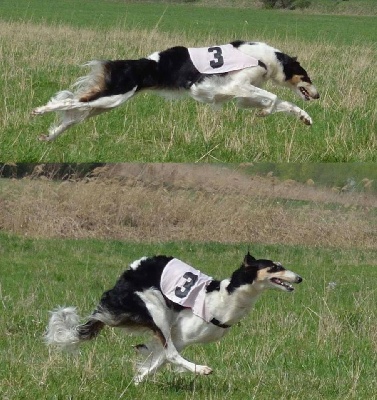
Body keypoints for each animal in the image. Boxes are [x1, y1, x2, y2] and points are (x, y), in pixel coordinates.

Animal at [31, 40, 318, 141]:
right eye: (307, 76)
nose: (317, 95)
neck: (265, 58)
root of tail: (131, 63)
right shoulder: (236, 85)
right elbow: (274, 97)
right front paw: (266, 112)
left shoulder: (241, 94)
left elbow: (284, 104)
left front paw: (305, 117)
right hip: (114, 96)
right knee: (69, 103)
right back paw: (40, 110)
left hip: (106, 104)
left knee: (75, 110)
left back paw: (49, 136)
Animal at [44, 253, 302, 384]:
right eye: (274, 267)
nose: (299, 278)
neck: (225, 297)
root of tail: (127, 275)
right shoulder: (181, 334)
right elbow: (167, 356)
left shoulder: (180, 338)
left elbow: (156, 360)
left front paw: (138, 379)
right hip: (157, 310)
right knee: (170, 353)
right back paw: (202, 369)